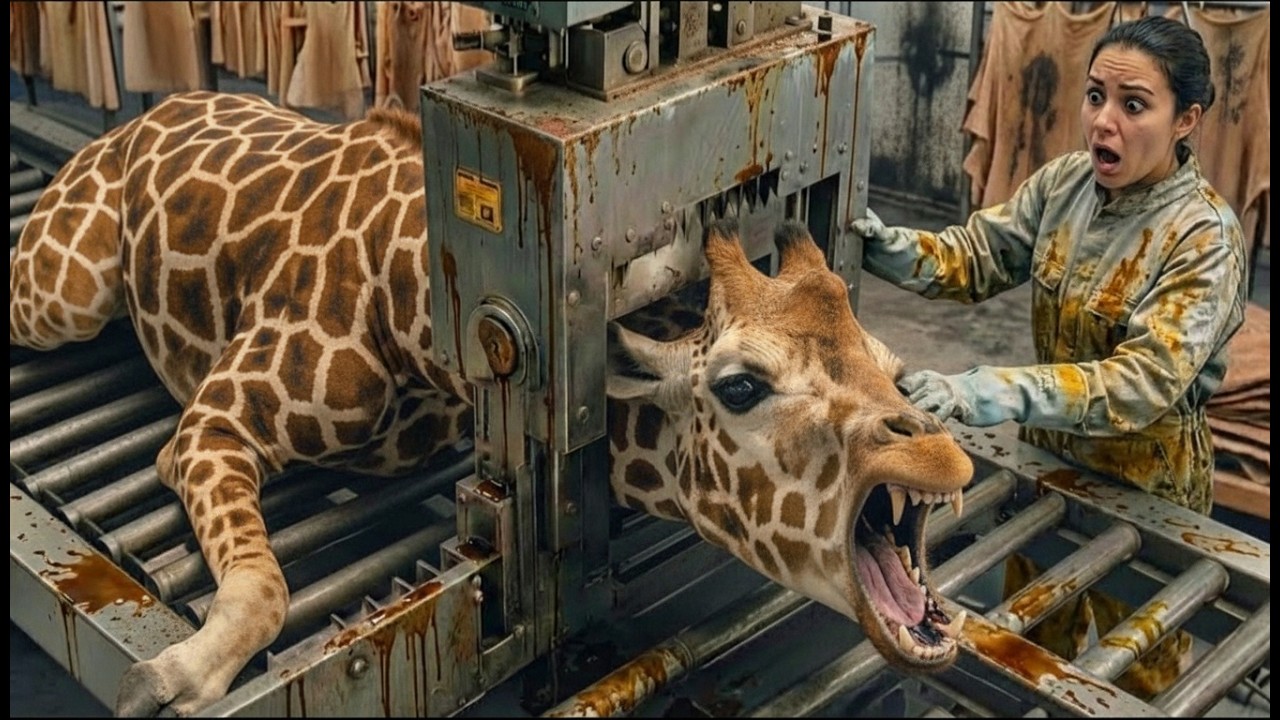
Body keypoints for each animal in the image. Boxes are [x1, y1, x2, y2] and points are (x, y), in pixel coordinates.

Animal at [10, 91, 974, 716]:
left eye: (894, 366)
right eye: (741, 384)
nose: (940, 459)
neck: (419, 311)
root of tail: (142, 115)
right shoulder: (208, 426)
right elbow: (264, 592)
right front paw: (170, 676)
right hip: (60, 295)